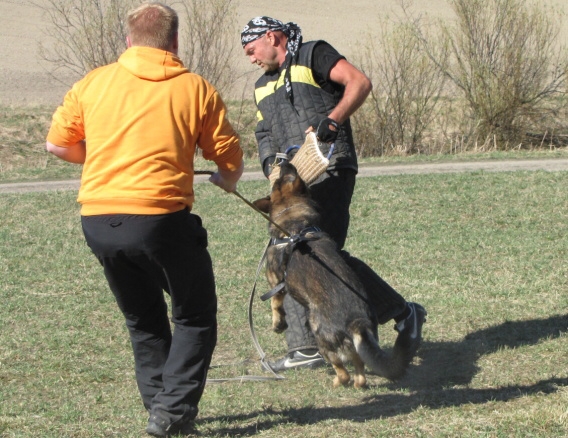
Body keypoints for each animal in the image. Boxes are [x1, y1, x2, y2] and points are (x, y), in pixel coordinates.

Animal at [253, 162, 408, 386]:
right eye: (286, 176)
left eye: (280, 180)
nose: (284, 162)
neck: (294, 225)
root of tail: (356, 321)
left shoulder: (276, 281)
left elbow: (275, 302)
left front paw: (278, 323)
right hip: (358, 345)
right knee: (359, 370)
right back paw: (358, 383)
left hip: (321, 335)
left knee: (342, 371)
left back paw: (337, 382)